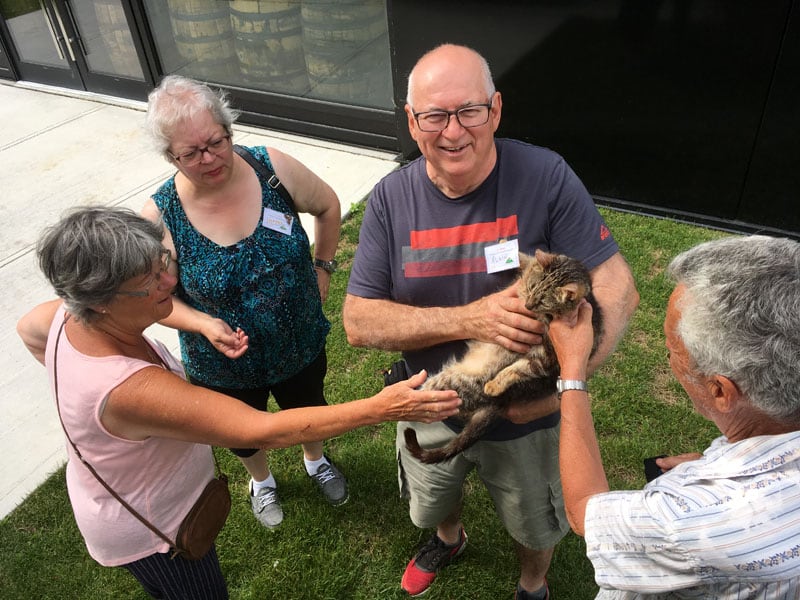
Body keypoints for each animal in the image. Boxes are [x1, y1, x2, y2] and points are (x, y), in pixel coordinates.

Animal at [406, 248, 600, 464]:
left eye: (543, 302)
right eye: (531, 288)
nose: (528, 305)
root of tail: (499, 403)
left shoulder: (547, 356)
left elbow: (518, 369)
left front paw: (495, 383)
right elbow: (527, 258)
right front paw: (511, 250)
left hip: (449, 383)